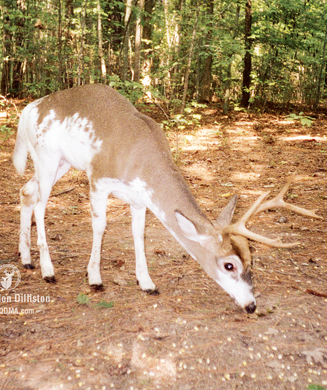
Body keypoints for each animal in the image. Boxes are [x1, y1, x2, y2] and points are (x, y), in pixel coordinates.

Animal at [12, 84, 322, 314]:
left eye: (251, 261)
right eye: (229, 265)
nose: (251, 305)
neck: (143, 158)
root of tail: (27, 110)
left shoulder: (139, 199)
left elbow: (138, 234)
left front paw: (147, 283)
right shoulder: (98, 178)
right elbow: (100, 227)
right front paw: (95, 279)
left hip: (60, 163)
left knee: (26, 192)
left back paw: (26, 259)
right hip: (47, 156)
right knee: (40, 204)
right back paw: (47, 269)